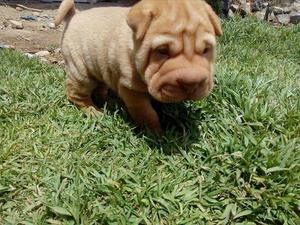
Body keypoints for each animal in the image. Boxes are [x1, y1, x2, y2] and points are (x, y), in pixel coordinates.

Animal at [55, 0, 221, 134]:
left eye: (206, 50)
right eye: (162, 51)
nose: (191, 83)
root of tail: (75, 15)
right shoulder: (131, 89)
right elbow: (147, 113)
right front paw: (156, 134)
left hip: (99, 65)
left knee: (101, 85)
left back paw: (109, 101)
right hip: (81, 72)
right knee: (76, 94)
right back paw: (93, 111)